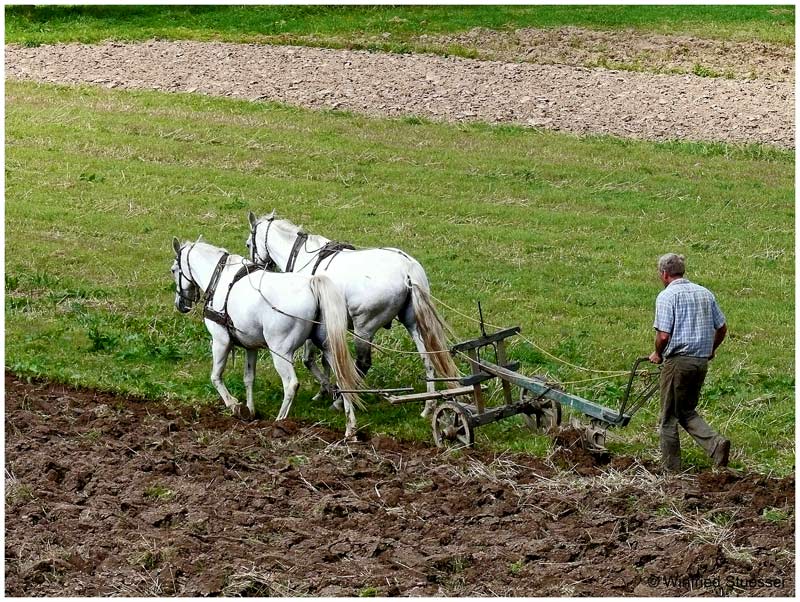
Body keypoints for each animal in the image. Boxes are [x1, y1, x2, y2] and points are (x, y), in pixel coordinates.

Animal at [175, 237, 366, 438]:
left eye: (173, 270)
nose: (180, 304)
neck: (221, 279)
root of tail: (311, 285)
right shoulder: (250, 346)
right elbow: (248, 378)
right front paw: (250, 411)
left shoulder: (221, 341)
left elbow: (215, 377)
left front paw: (234, 405)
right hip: (328, 347)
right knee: (342, 379)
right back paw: (350, 428)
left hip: (280, 351)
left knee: (291, 384)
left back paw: (280, 422)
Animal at [244, 209, 460, 414]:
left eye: (248, 244)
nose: (255, 267)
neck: (306, 259)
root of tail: (407, 269)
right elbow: (325, 360)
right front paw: (324, 391)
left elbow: (309, 360)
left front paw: (330, 389)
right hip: (414, 324)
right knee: (428, 359)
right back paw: (429, 406)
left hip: (364, 328)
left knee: (363, 364)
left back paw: (341, 401)